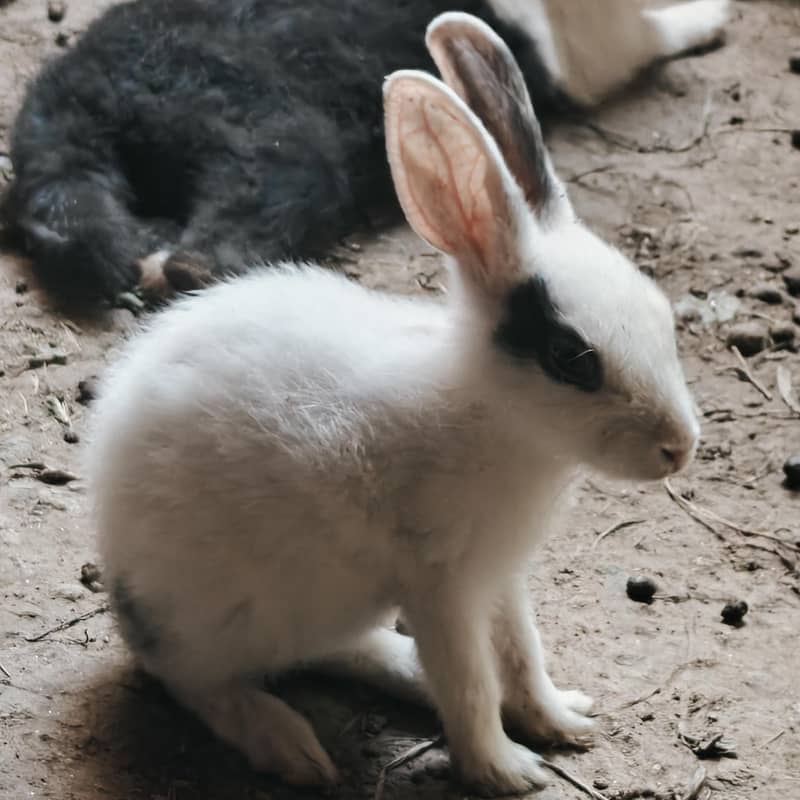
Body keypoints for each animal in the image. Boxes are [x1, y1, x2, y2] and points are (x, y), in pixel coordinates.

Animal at [3, 0, 729, 309]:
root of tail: (90, 90)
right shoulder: (587, 50)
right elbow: (655, 31)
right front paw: (714, 17)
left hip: (65, 159)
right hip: (278, 137)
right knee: (240, 213)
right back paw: (173, 267)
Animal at [88, 11, 701, 794]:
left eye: (659, 311)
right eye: (572, 358)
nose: (679, 448)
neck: (492, 416)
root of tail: (126, 593)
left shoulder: (499, 577)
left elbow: (521, 652)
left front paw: (562, 720)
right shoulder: (442, 585)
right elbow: (469, 681)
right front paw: (506, 769)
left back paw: (400, 674)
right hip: (223, 617)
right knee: (196, 681)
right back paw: (288, 744)